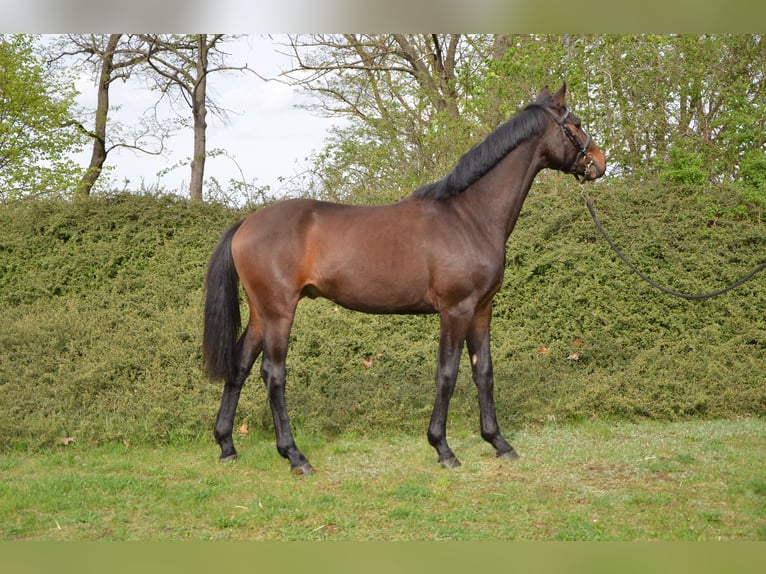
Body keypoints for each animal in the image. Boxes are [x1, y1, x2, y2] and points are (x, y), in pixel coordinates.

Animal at [202, 82, 608, 476]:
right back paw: (295, 457)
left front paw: (498, 442)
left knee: (239, 367)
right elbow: (448, 373)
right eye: (575, 124)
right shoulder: (456, 310)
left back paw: (226, 446)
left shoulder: (481, 309)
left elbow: (484, 372)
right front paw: (443, 448)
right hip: (279, 312)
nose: (600, 163)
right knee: (273, 375)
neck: (469, 216)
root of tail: (246, 223)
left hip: (261, 312)